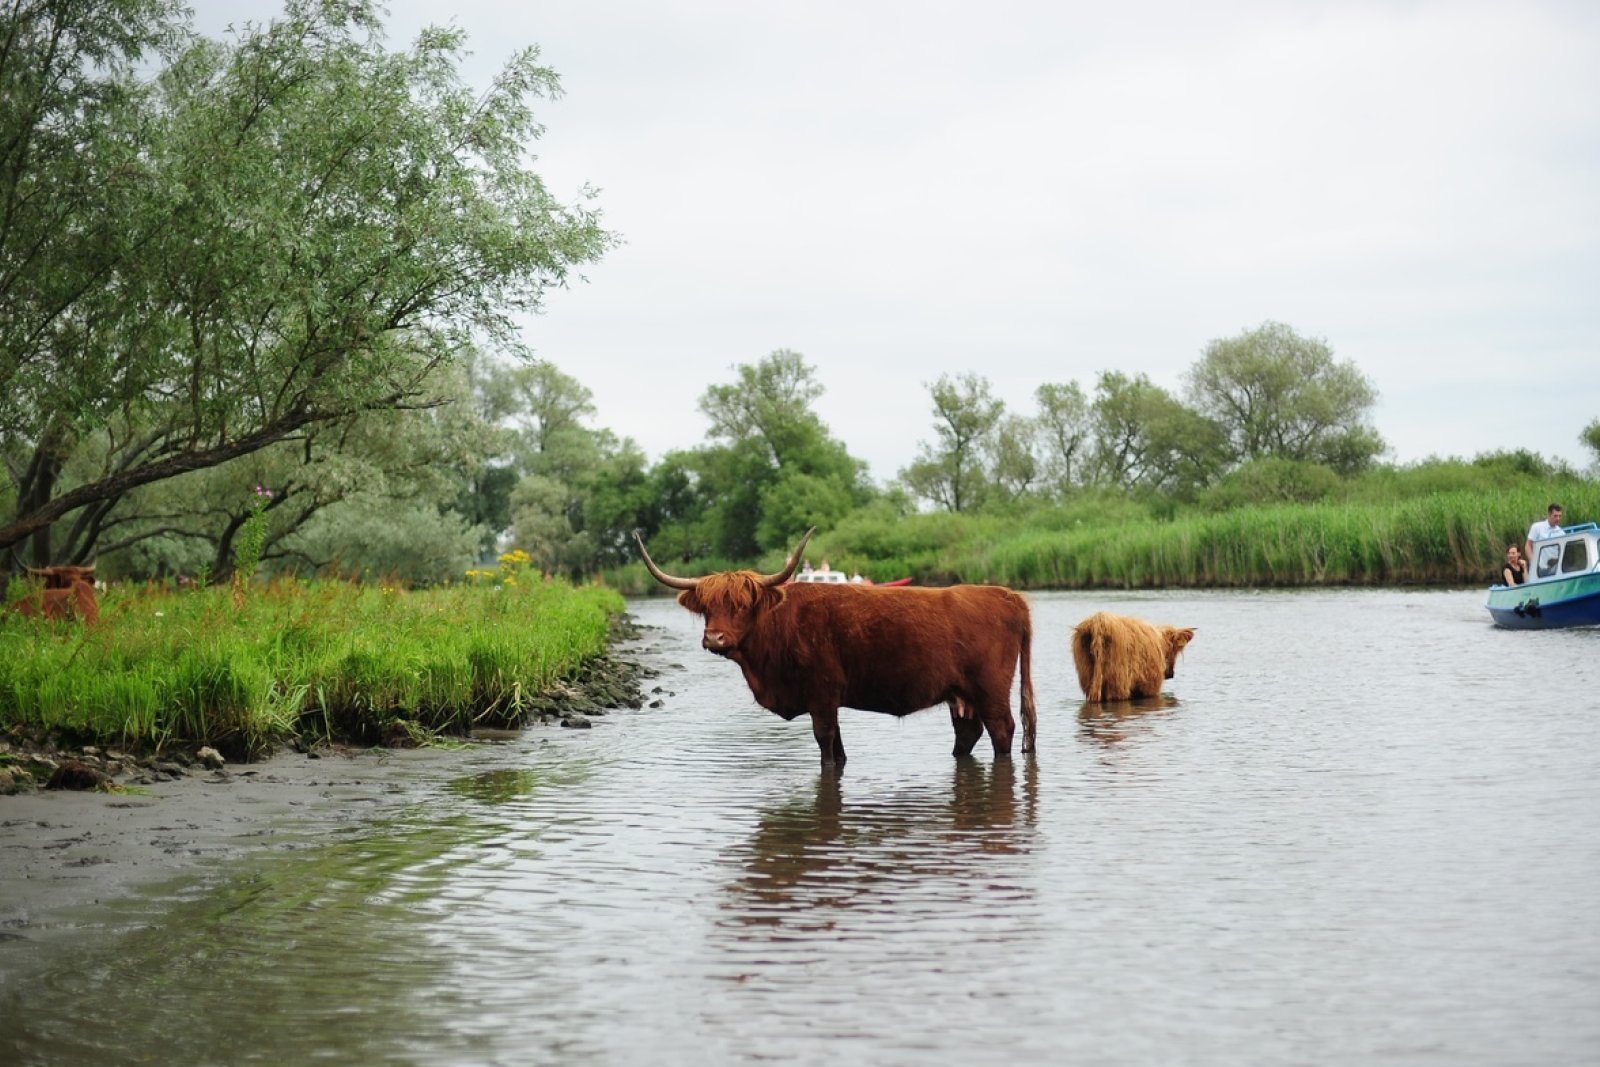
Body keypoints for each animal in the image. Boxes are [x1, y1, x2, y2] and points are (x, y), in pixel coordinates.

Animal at [636, 527, 1036, 764]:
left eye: (742, 605)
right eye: (707, 607)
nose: (715, 638)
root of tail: (1008, 596)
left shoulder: (822, 693)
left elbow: (826, 744)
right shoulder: (826, 698)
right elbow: (839, 748)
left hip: (990, 689)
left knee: (1002, 730)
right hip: (961, 694)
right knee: (968, 733)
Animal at [1068, 614, 1196, 703]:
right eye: (1174, 651)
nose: (1170, 674)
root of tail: (1098, 622)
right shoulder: (1151, 686)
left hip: (1087, 677)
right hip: (1119, 682)